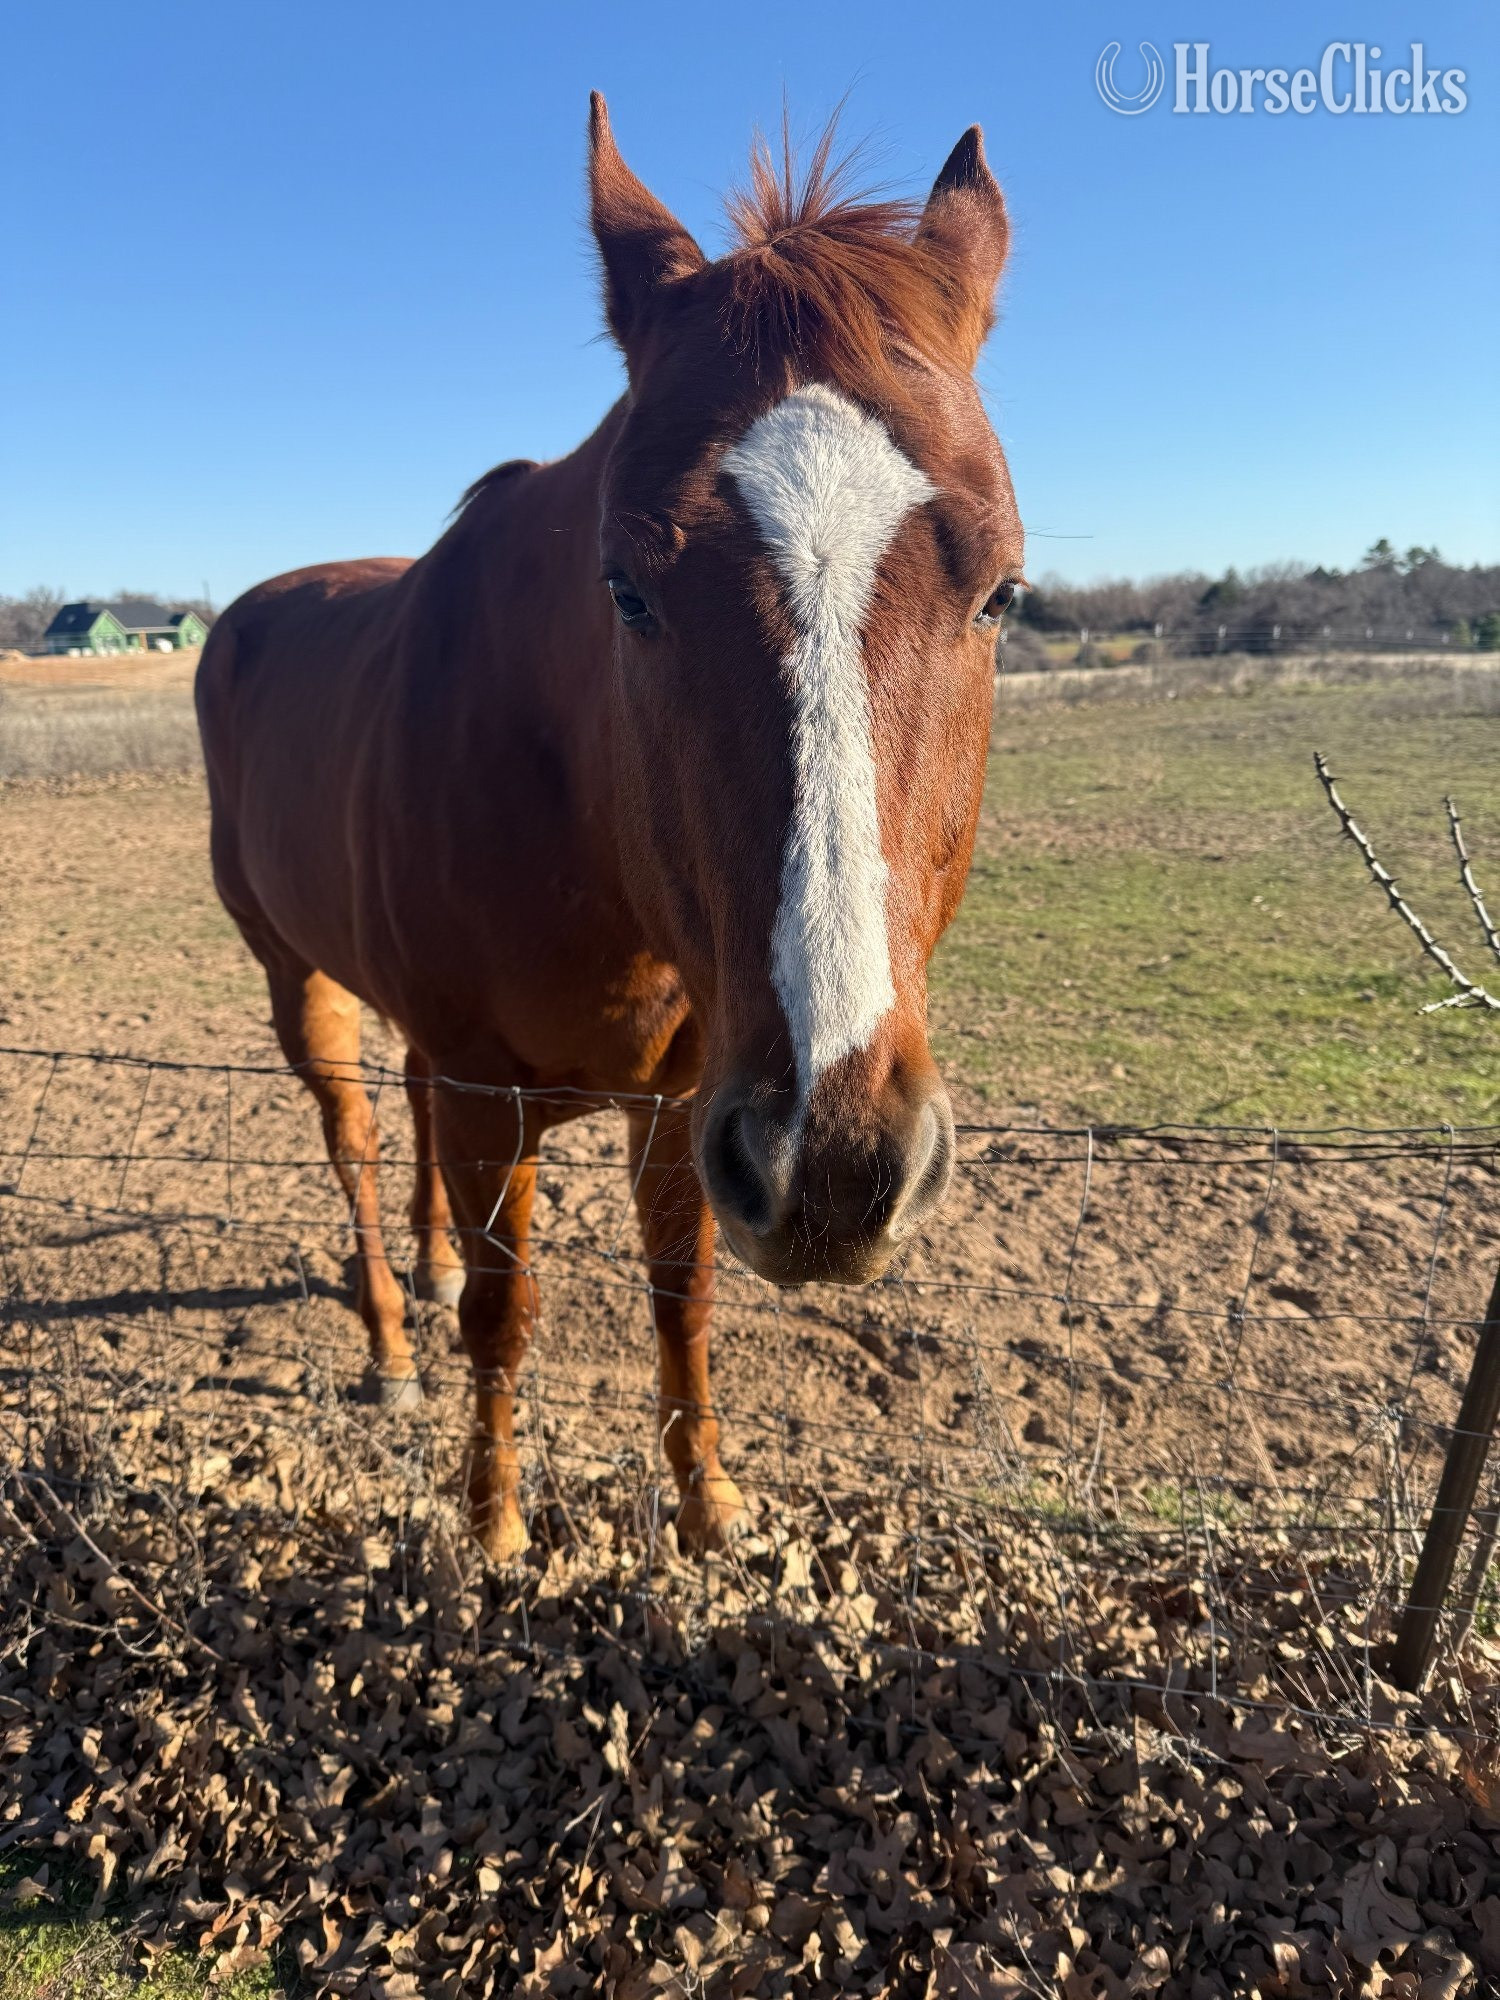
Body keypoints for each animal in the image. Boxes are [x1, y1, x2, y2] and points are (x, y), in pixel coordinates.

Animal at [195, 97, 1023, 1561]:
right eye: (628, 589)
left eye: (1001, 593)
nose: (840, 1163)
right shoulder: (501, 1093)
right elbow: (505, 1310)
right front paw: (493, 1522)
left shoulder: (696, 1095)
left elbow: (681, 1291)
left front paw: (707, 1504)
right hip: (299, 980)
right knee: (355, 1137)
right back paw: (390, 1338)